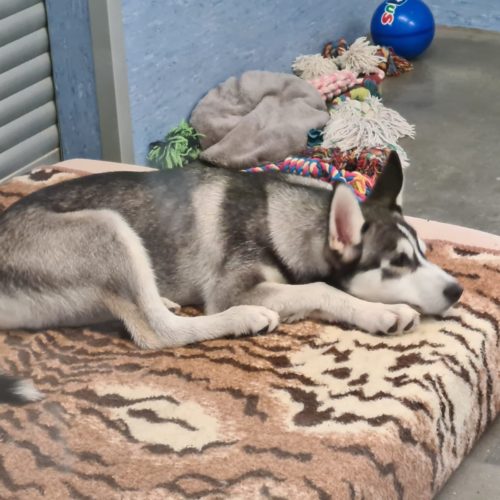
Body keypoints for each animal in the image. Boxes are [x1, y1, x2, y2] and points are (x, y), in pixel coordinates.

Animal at [0, 152, 462, 404]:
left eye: (423, 252)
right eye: (398, 261)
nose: (457, 290)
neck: (277, 217)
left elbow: (313, 291)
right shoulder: (233, 289)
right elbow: (320, 288)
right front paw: (382, 313)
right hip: (110, 226)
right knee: (158, 332)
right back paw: (244, 319)